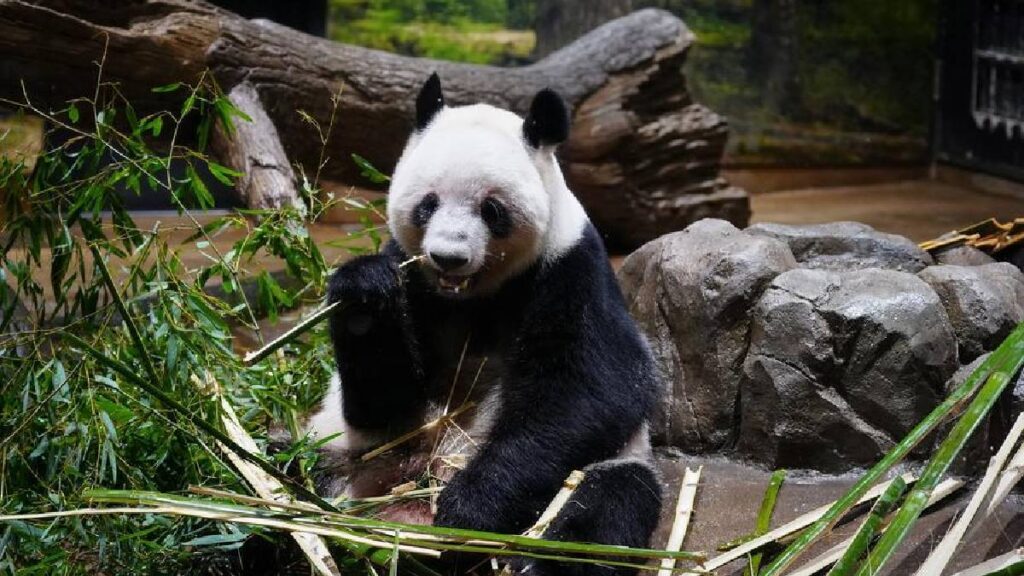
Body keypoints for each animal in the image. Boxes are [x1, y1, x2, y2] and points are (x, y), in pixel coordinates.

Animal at [305, 73, 663, 576]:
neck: (472, 297)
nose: (448, 257)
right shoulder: (414, 280)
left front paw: (469, 509)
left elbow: (592, 389)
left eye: (491, 210)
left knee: (605, 508)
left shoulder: (571, 269)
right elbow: (383, 401)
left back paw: (536, 562)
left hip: (608, 467)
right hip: (340, 453)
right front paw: (362, 293)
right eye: (427, 204)